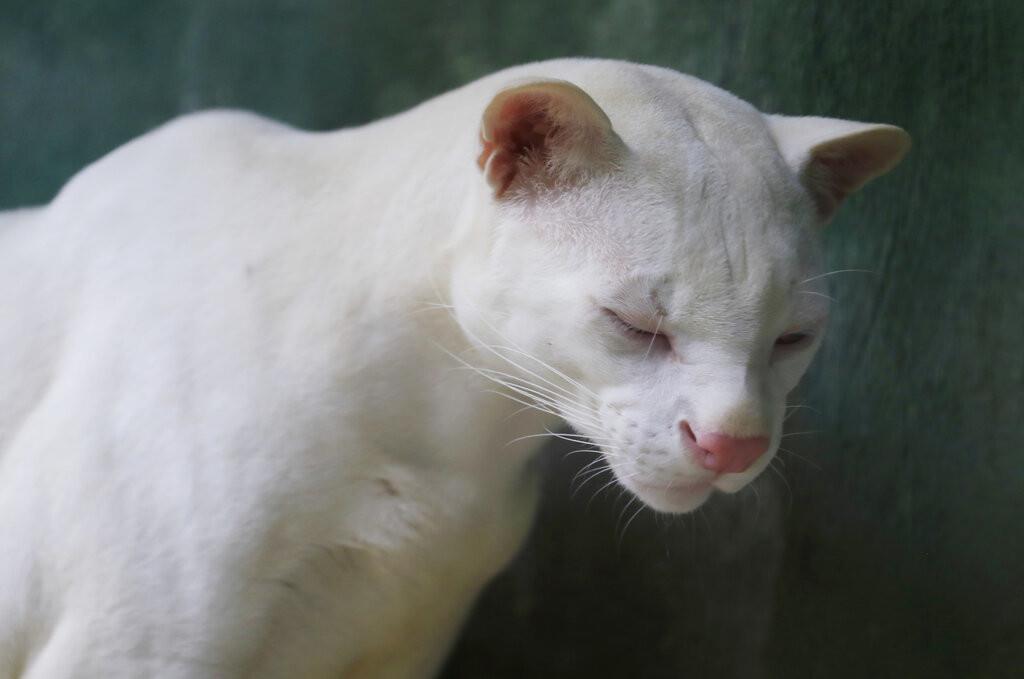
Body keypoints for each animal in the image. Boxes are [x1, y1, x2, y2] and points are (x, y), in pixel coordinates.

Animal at [0, 59, 909, 679]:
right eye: (634, 324)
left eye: (792, 338)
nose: (732, 444)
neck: (447, 445)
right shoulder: (134, 651)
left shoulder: (407, 646)